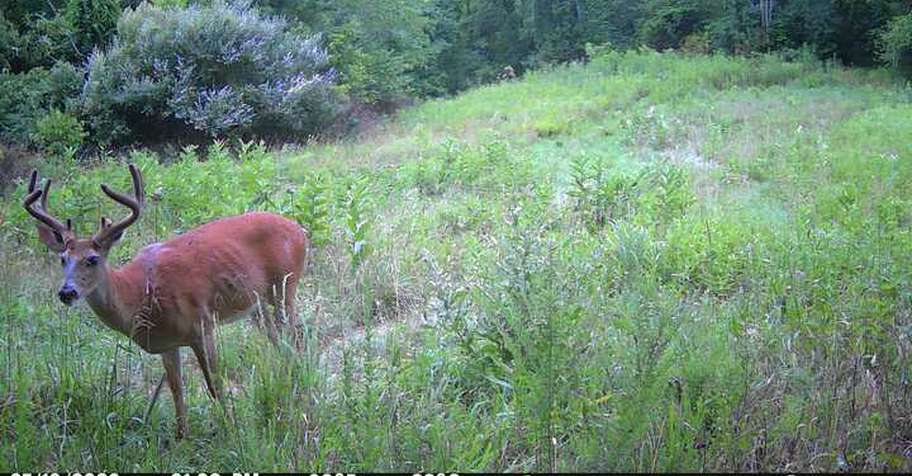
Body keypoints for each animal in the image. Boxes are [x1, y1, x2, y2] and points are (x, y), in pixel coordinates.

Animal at [22, 163, 309, 438]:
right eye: (62, 259)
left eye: (92, 259)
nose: (67, 292)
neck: (140, 294)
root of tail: (299, 230)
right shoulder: (166, 344)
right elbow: (175, 390)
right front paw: (181, 436)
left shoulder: (201, 325)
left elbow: (214, 384)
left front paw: (231, 428)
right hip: (256, 303)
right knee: (277, 340)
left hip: (285, 286)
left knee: (296, 335)